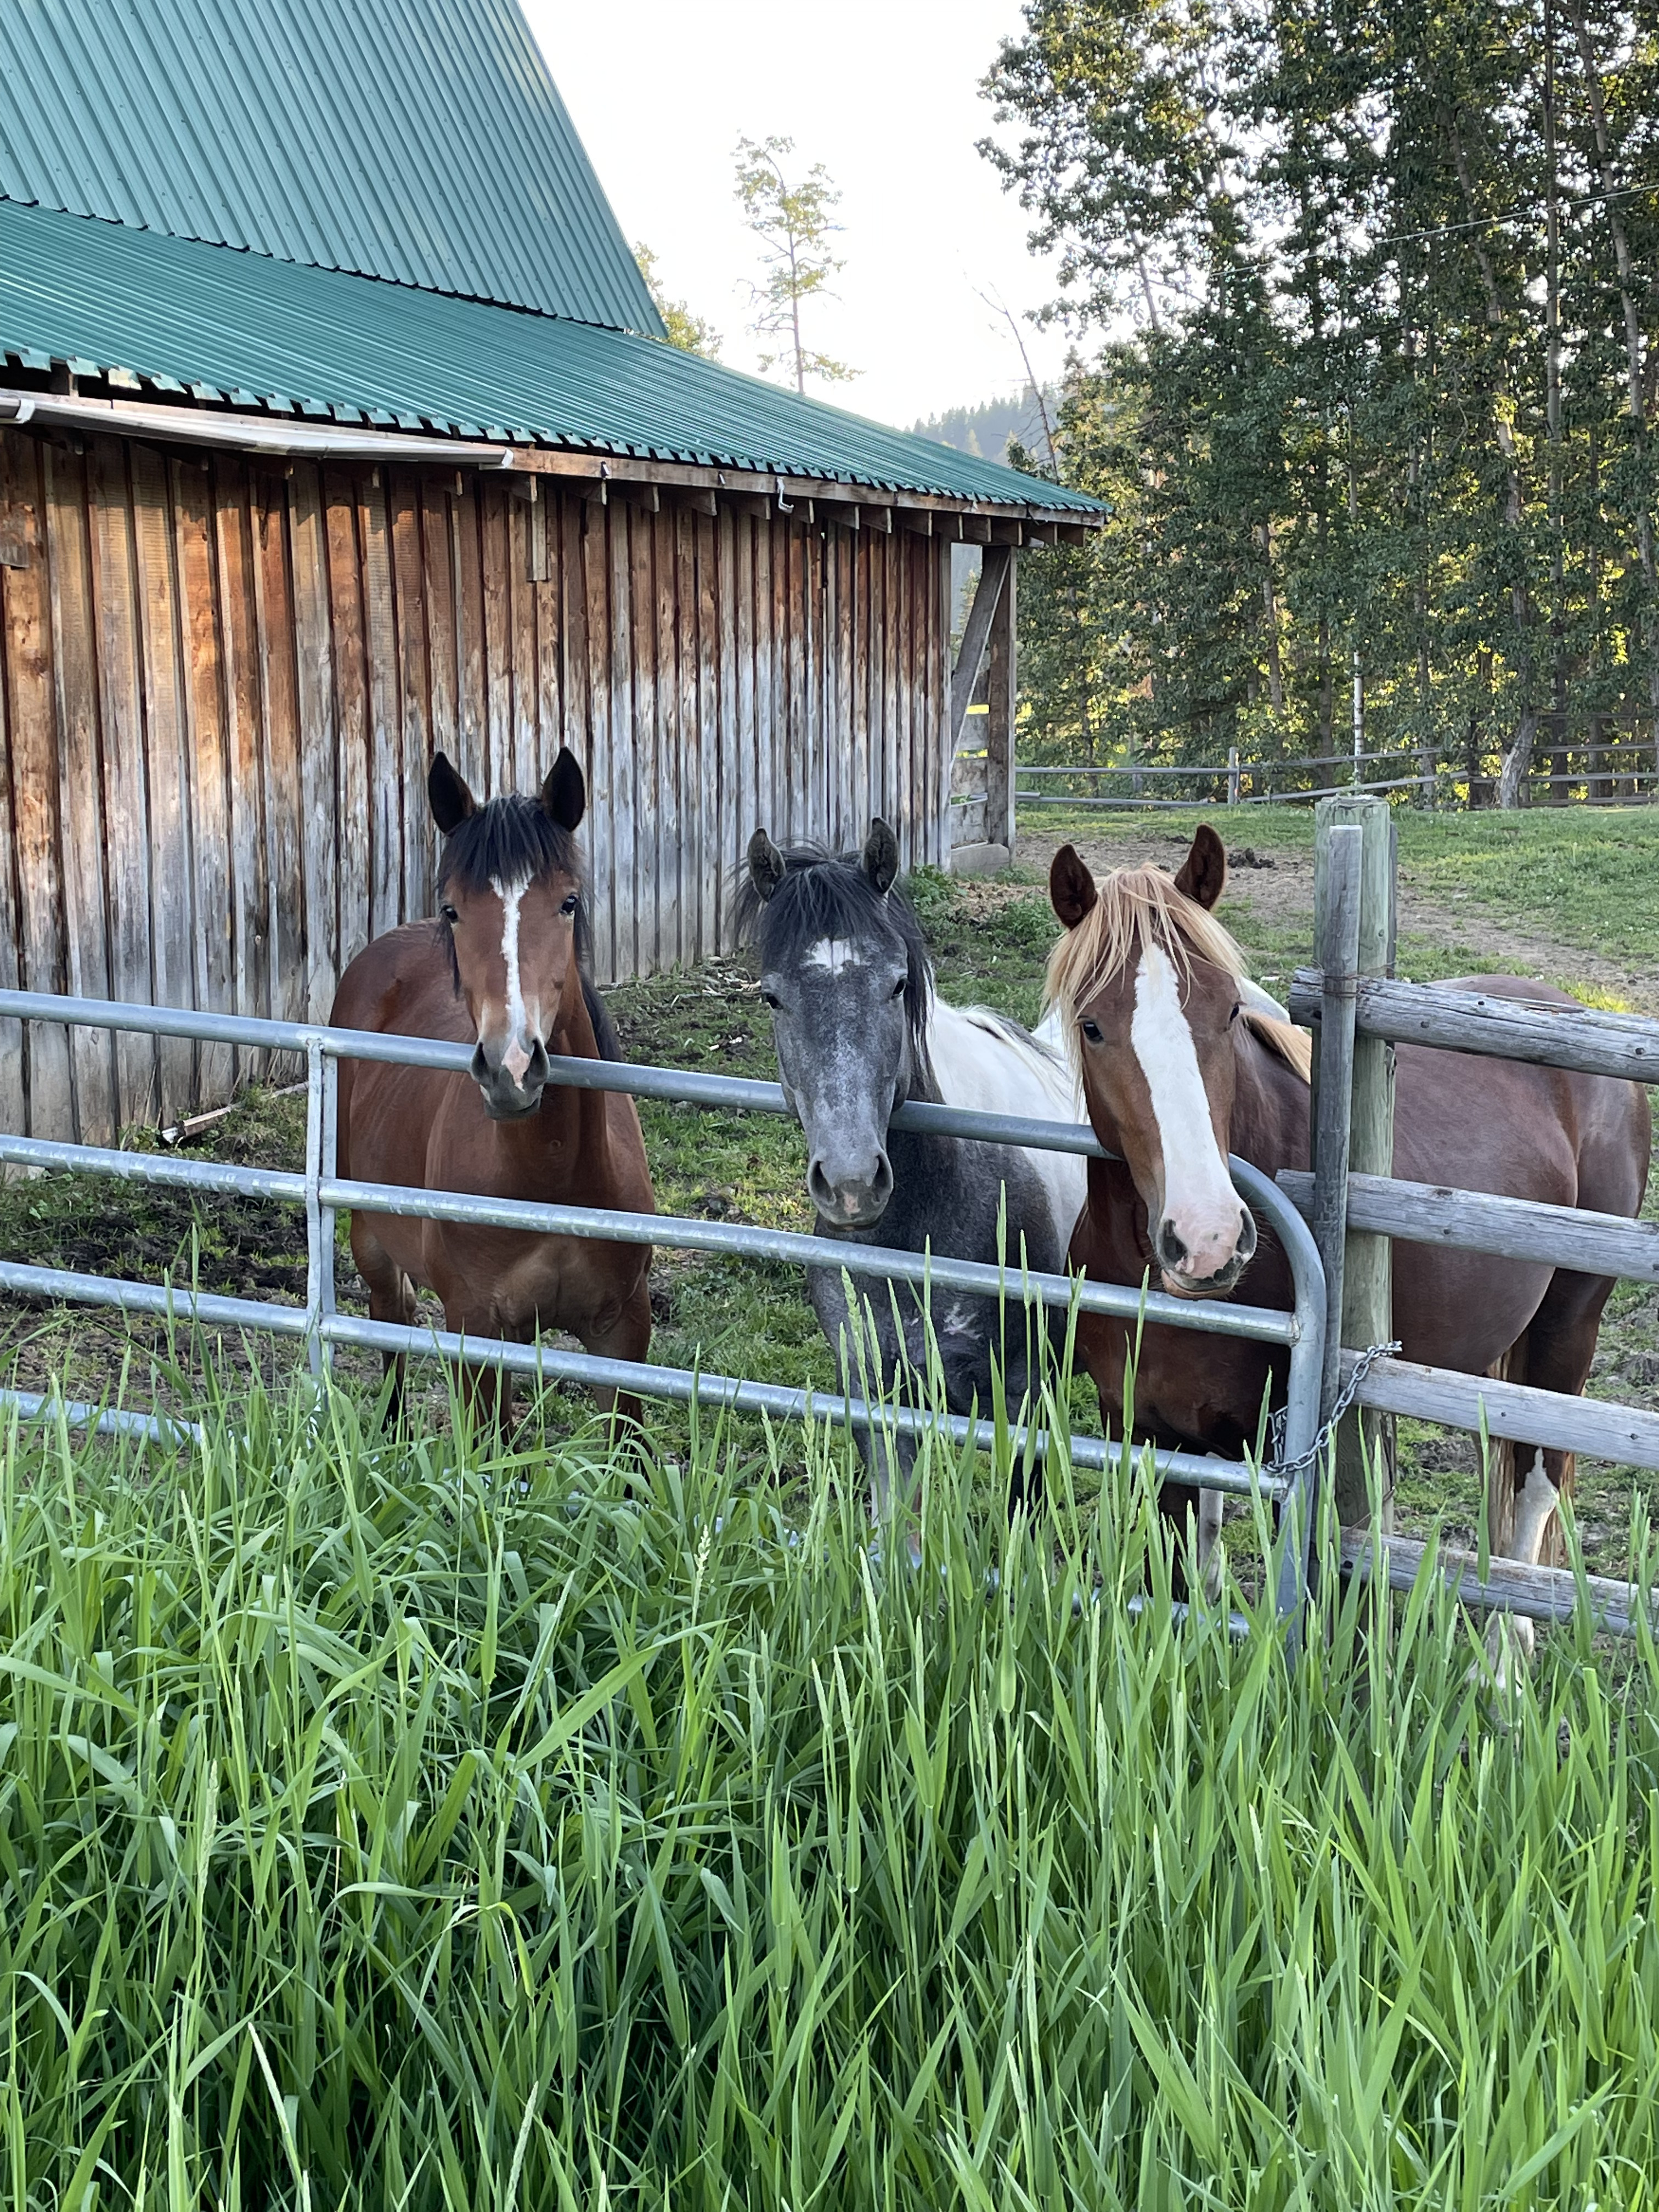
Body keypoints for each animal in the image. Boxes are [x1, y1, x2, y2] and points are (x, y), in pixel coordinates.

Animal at [330, 748, 654, 1429]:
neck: (552, 1178)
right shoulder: (477, 1332)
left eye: (568, 902)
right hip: (371, 1240)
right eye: (454, 909)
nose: (512, 1065)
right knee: (391, 1322)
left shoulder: (623, 1333)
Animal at [1044, 823, 1650, 1646]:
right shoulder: (1148, 1432)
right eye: (1092, 1026)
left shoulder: (1291, 1454)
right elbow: (1179, 1581)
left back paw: (1502, 1661)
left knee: (1536, 1485)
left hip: (1570, 1325)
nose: (1207, 1242)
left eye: (1229, 1011)